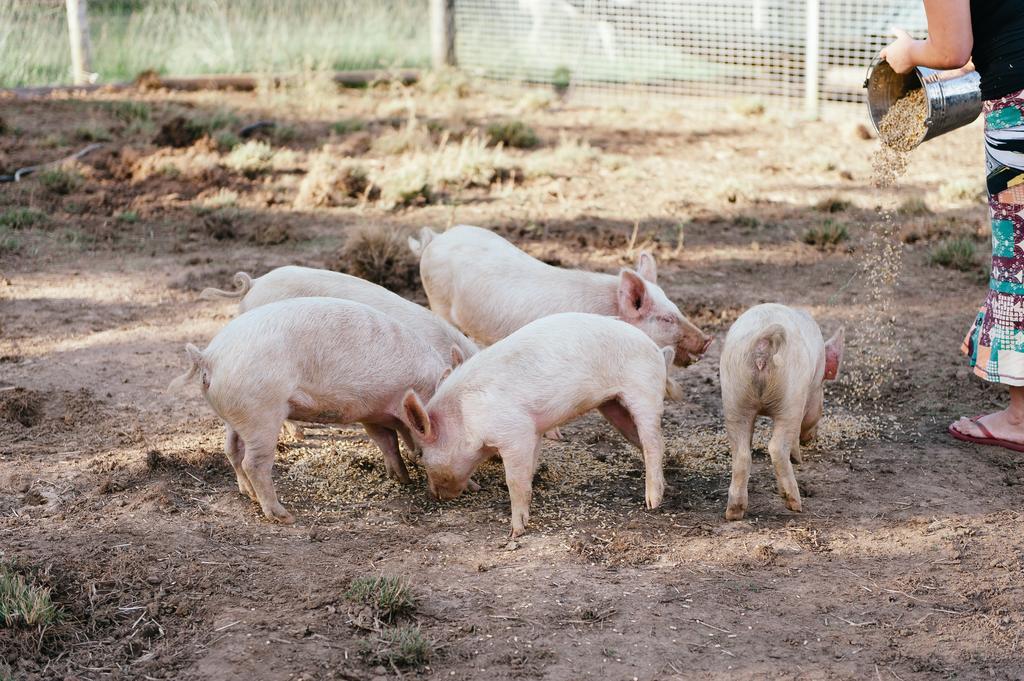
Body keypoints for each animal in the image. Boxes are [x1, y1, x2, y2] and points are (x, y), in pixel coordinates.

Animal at [169, 296, 454, 520]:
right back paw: (283, 516)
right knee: (254, 463)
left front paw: (402, 478)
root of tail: (210, 357)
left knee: (231, 450)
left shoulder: (373, 412)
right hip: (261, 412)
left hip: (234, 415)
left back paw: (248, 495)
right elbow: (389, 439)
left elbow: (388, 442)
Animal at [399, 311, 679, 536]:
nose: (435, 495)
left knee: (653, 442)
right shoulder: (532, 431)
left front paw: (515, 532)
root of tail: (658, 351)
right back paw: (664, 487)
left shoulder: (515, 433)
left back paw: (652, 502)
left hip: (643, 392)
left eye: (421, 454)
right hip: (613, 407)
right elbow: (528, 472)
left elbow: (515, 481)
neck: (465, 417)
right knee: (649, 442)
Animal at [716, 303, 843, 520]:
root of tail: (763, 342)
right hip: (790, 397)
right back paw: (795, 504)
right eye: (823, 392)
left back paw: (733, 513)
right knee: (777, 447)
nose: (812, 438)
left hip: (734, 394)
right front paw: (798, 458)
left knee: (741, 453)